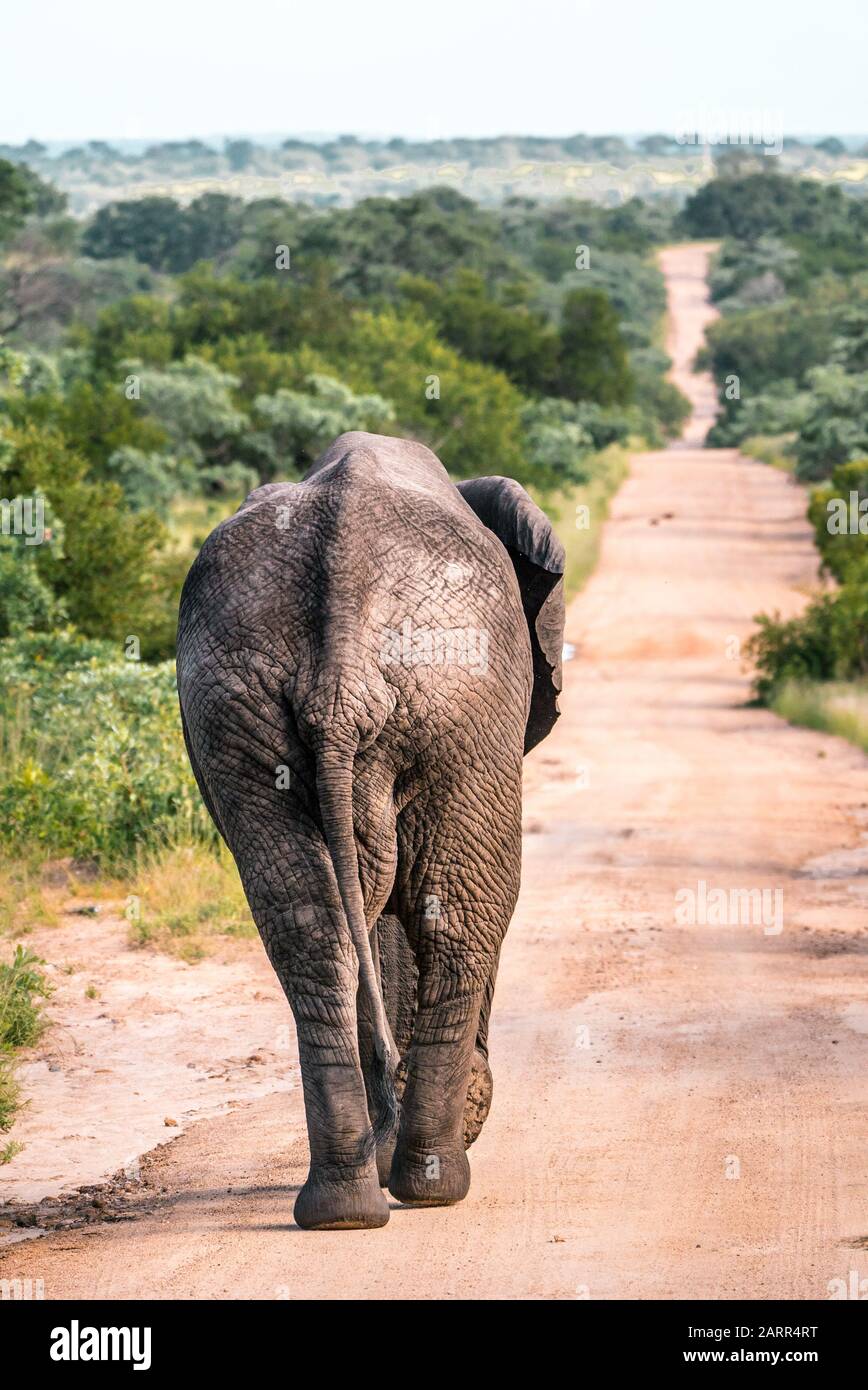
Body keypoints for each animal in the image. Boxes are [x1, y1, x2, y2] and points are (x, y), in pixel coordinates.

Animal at [179, 430, 567, 1228]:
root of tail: (340, 676)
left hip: (238, 703)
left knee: (311, 929)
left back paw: (343, 1208)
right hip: (461, 699)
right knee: (462, 917)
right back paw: (431, 1182)